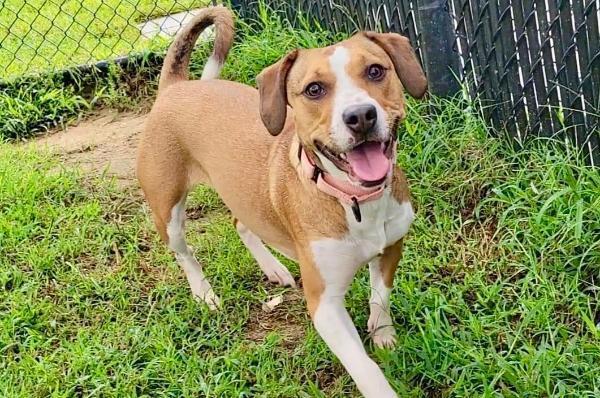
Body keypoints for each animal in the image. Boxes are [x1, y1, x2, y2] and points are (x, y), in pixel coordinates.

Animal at [137, 6, 426, 398]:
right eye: (314, 89)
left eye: (375, 71)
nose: (360, 116)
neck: (355, 199)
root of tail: (177, 86)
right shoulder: (325, 305)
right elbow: (364, 367)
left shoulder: (392, 247)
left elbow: (380, 298)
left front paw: (383, 335)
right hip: (167, 209)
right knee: (185, 252)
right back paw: (204, 294)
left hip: (244, 196)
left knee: (240, 222)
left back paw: (273, 268)